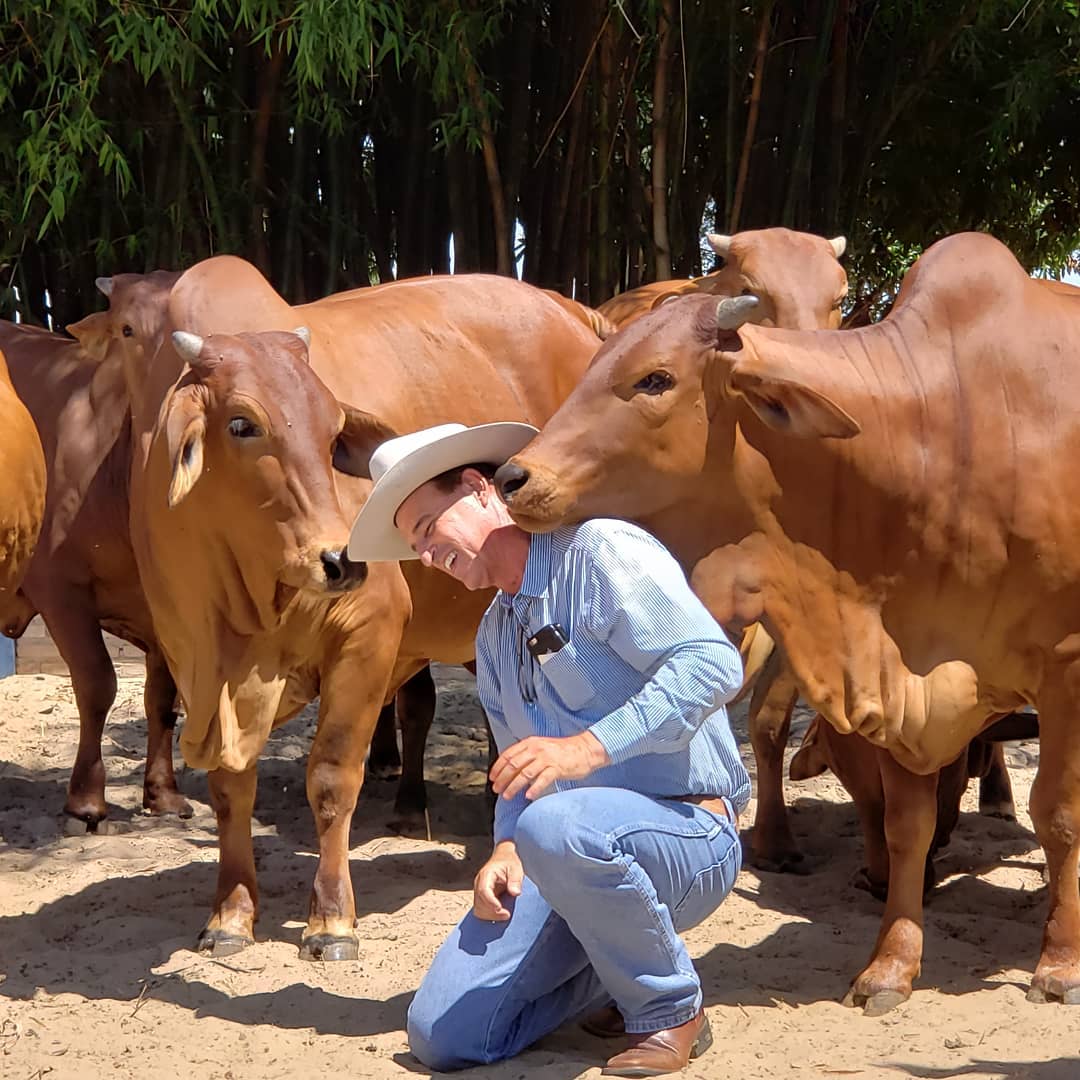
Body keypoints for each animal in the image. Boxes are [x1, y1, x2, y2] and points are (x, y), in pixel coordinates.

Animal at [100, 263, 600, 963]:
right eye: (241, 424)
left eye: (334, 429)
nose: (341, 559)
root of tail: (573, 313)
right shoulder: (193, 664)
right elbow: (231, 789)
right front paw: (231, 913)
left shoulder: (370, 635)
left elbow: (332, 780)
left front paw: (331, 920)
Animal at [494, 230, 1080, 1010]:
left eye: (655, 380)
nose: (513, 478)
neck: (944, 433)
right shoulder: (901, 672)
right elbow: (907, 825)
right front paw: (892, 963)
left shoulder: (1066, 665)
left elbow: (1060, 815)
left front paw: (1061, 961)